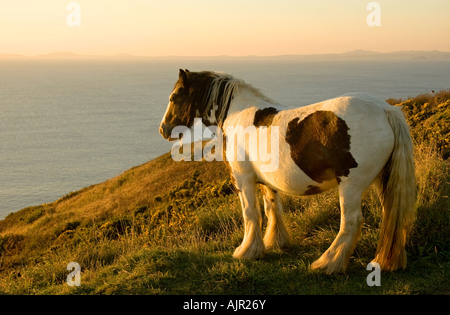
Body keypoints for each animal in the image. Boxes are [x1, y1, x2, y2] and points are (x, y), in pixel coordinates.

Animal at [160, 69, 416, 274]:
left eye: (174, 97)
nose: (164, 129)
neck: (237, 115)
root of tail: (385, 109)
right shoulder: (267, 181)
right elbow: (272, 209)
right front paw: (275, 242)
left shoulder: (243, 180)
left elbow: (251, 214)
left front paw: (247, 251)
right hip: (383, 180)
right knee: (390, 216)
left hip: (350, 186)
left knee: (351, 222)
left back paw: (328, 264)